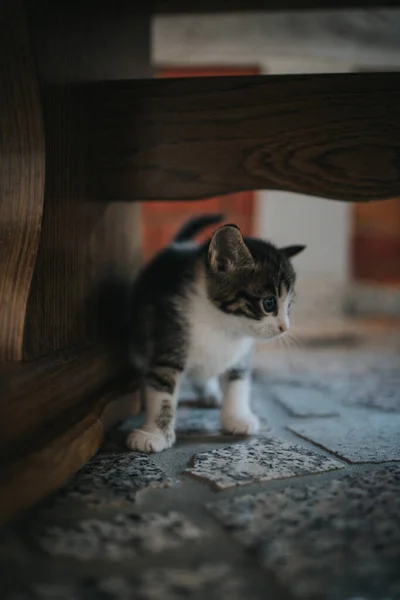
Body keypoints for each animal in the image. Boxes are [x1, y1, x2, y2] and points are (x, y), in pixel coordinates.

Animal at [126, 213, 304, 452]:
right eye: (269, 303)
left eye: (289, 306)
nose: (285, 327)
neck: (222, 325)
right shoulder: (168, 339)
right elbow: (162, 389)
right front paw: (154, 434)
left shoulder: (240, 353)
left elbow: (238, 382)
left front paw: (237, 417)